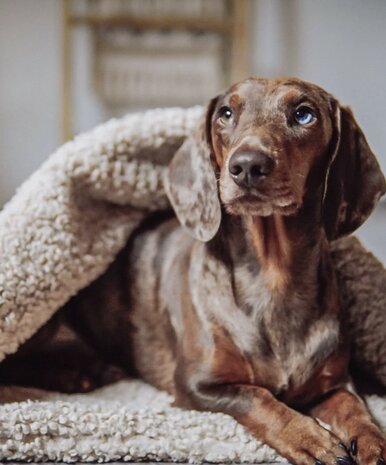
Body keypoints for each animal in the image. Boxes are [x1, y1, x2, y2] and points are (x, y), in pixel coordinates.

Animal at [2, 78, 386, 464]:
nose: (247, 166)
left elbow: (355, 408)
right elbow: (259, 399)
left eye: (304, 114)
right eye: (226, 113)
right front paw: (309, 437)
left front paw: (372, 442)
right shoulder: (198, 385)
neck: (273, 277)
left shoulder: (334, 382)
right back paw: (75, 375)